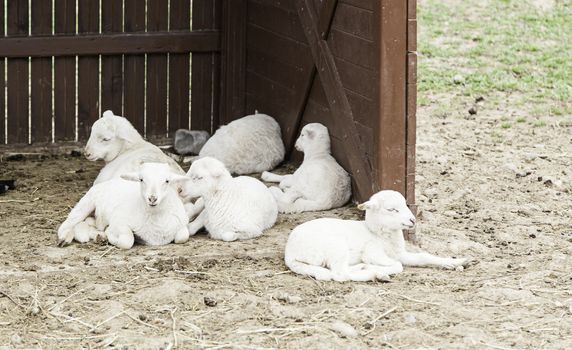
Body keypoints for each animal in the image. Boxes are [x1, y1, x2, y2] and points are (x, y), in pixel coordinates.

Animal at [57, 163, 189, 247]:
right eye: (141, 179)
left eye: (167, 181)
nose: (152, 198)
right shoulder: (118, 221)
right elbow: (127, 241)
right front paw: (112, 236)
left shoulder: (181, 225)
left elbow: (183, 236)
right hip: (86, 203)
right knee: (66, 225)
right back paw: (65, 239)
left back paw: (100, 237)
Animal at [284, 190, 472, 284]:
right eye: (391, 209)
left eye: (405, 204)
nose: (412, 220)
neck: (381, 235)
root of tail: (290, 254)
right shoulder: (373, 252)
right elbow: (397, 265)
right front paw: (379, 270)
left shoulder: (400, 253)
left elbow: (423, 256)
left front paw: (457, 262)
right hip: (335, 246)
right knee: (339, 274)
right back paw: (373, 273)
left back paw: (362, 267)